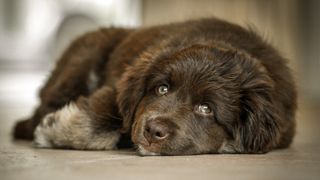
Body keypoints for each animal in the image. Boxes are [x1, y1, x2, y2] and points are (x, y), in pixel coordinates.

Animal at [13, 18, 298, 156]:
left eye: (206, 108)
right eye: (162, 89)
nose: (153, 131)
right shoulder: (119, 83)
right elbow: (108, 110)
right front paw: (56, 130)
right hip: (81, 61)